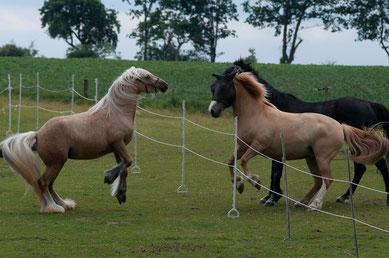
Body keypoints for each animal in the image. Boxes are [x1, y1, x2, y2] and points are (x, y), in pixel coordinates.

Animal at [0, 67, 167, 214]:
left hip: (57, 163)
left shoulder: (116, 148)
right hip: (56, 162)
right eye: (146, 76)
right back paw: (53, 208)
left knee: (50, 184)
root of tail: (38, 134)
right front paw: (109, 178)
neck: (116, 113)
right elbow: (128, 162)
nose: (164, 85)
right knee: (43, 183)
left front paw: (120, 194)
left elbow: (124, 167)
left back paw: (65, 204)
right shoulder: (118, 143)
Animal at [211, 59, 388, 207]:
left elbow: (264, 170)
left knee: (362, 170)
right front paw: (243, 186)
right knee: (341, 174)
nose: (213, 111)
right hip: (314, 157)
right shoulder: (246, 147)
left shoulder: (261, 146)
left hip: (330, 155)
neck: (258, 113)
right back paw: (316, 200)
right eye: (212, 87)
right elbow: (232, 162)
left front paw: (262, 189)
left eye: (225, 87)